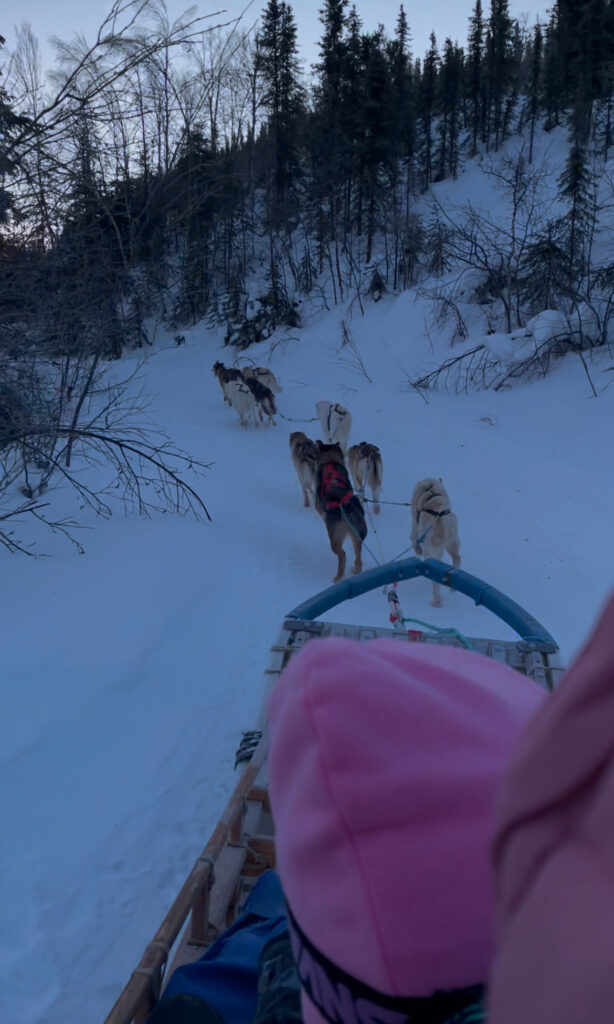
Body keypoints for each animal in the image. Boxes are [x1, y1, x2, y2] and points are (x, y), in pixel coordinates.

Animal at [317, 442, 364, 585]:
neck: (330, 461)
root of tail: (345, 506)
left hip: (335, 538)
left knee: (342, 555)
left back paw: (338, 576)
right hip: (356, 536)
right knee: (358, 556)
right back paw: (356, 570)